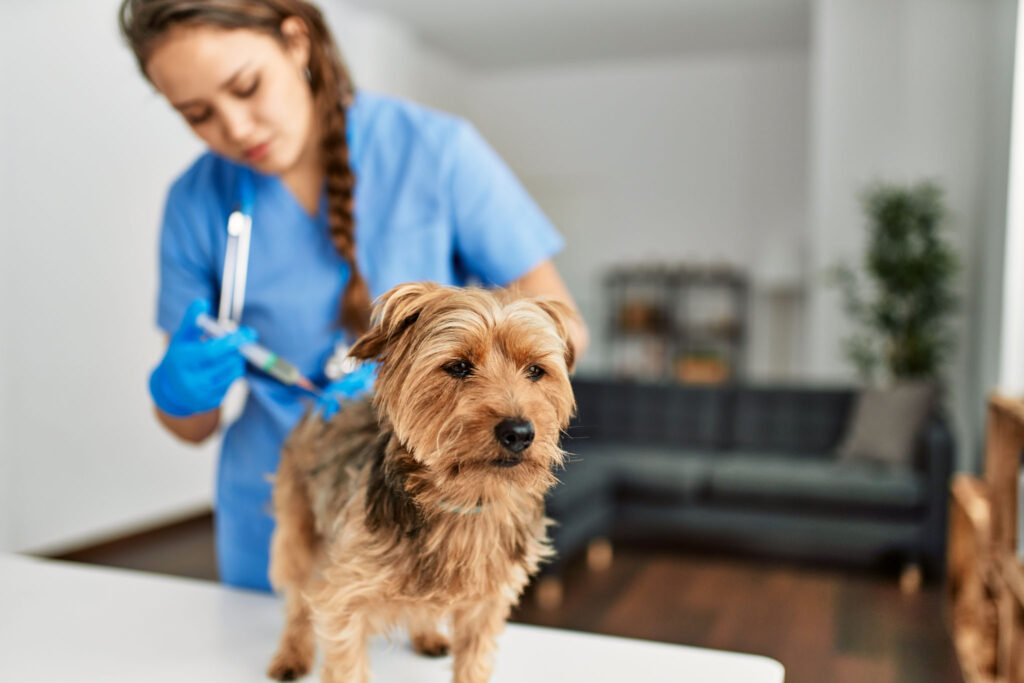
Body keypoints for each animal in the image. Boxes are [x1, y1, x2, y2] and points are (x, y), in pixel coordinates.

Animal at [268, 280, 581, 679]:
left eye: (536, 370)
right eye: (459, 367)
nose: (520, 432)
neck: (464, 500)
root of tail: (323, 402)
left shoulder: (486, 605)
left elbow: (473, 662)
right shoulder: (344, 600)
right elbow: (345, 660)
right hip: (297, 529)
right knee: (297, 597)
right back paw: (291, 654)